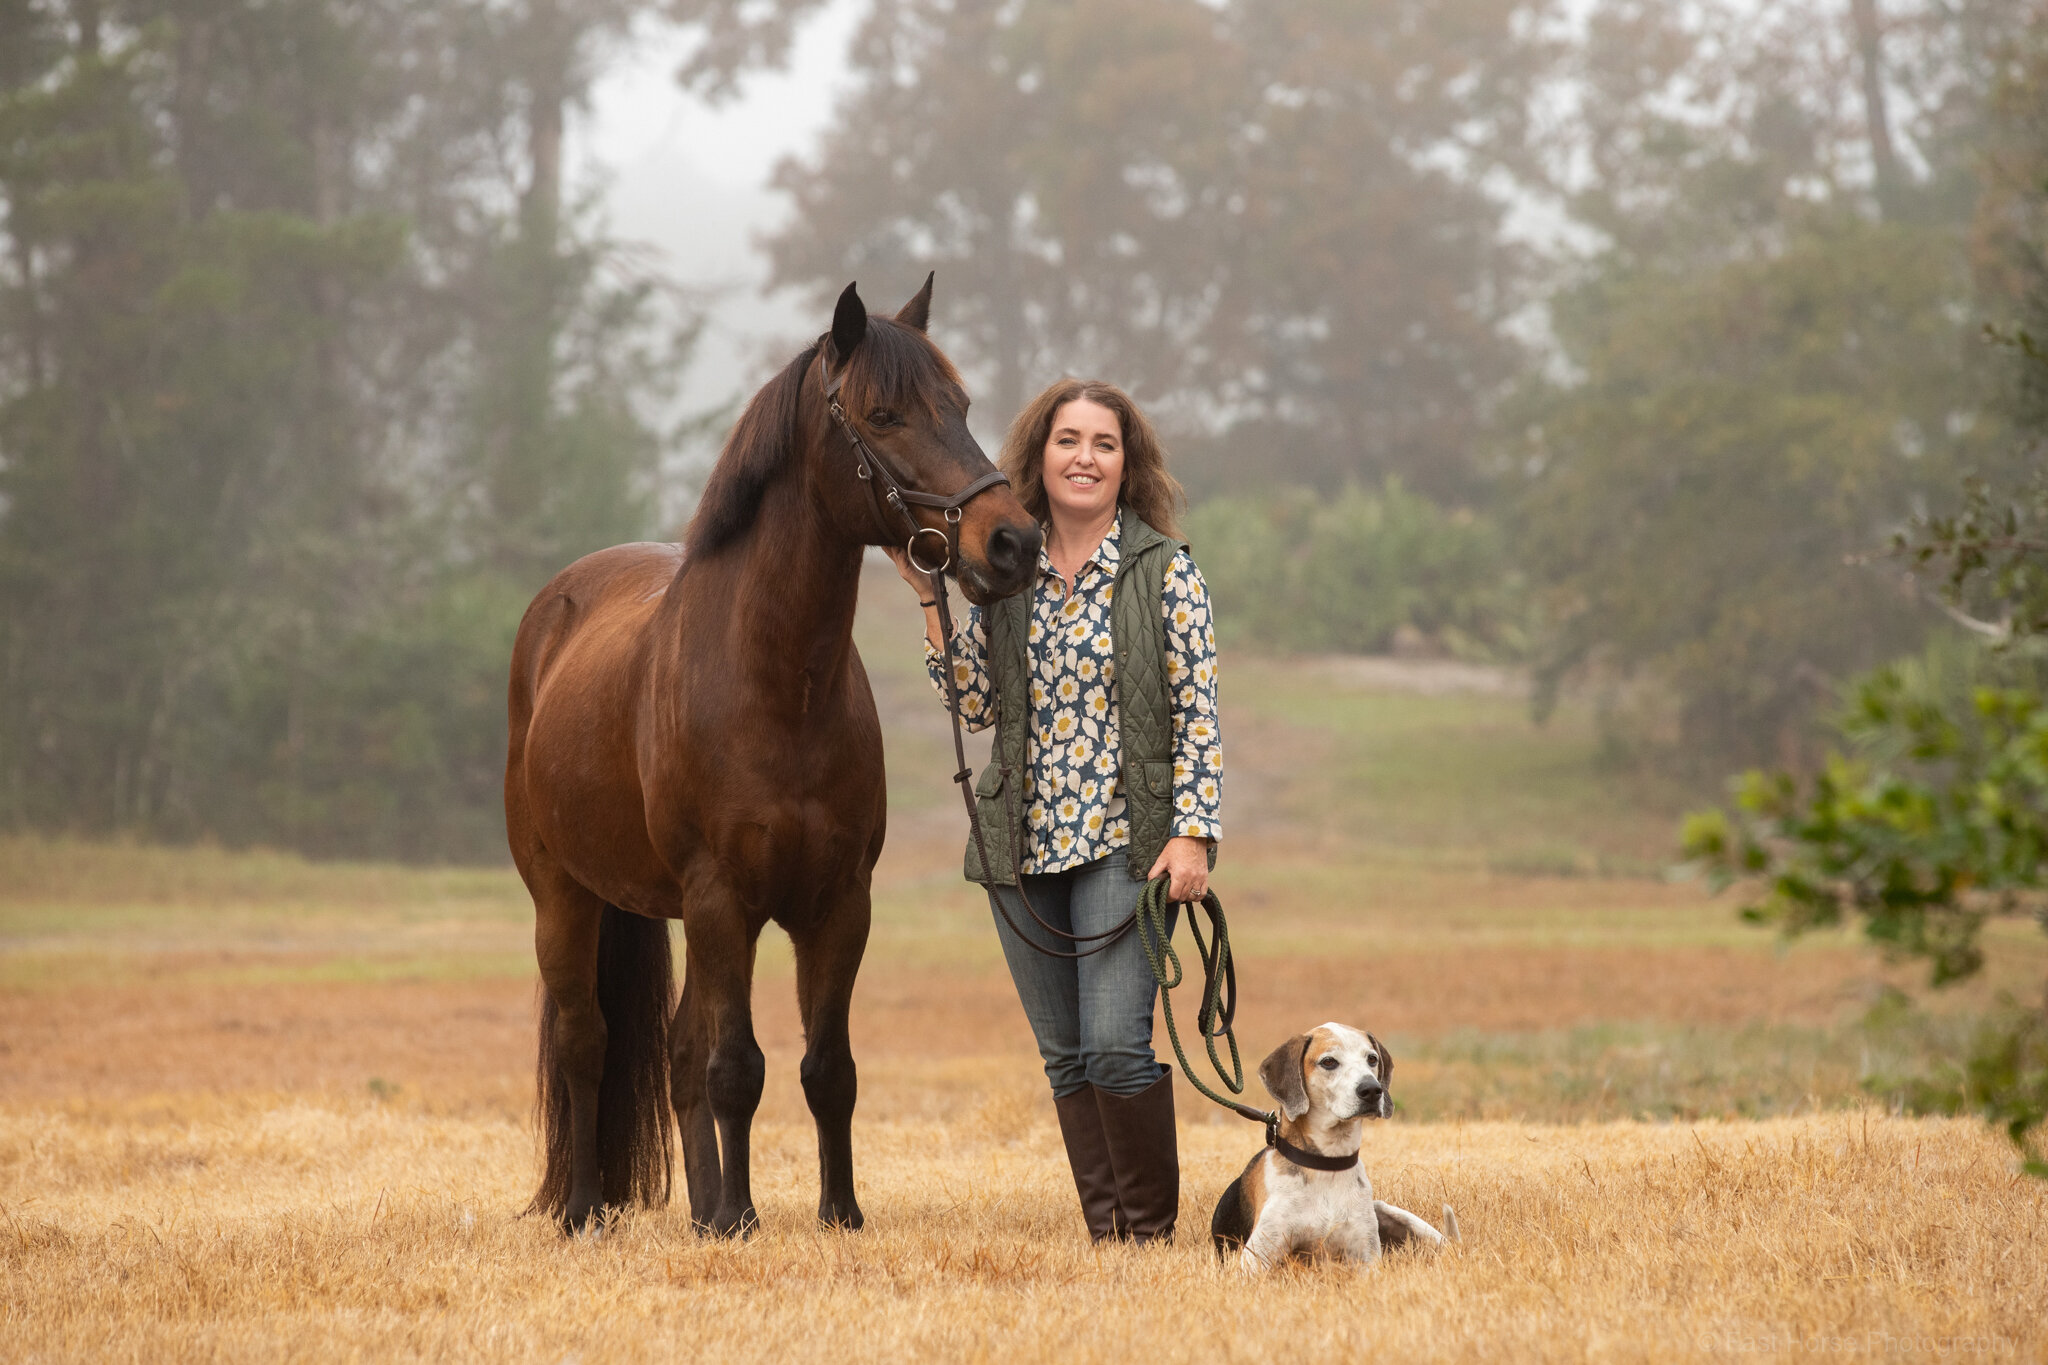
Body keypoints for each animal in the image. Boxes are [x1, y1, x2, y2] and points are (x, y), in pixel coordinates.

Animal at [497, 280, 1040, 1236]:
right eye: (884, 413)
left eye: (964, 406)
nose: (1012, 542)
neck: (779, 688)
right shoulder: (723, 899)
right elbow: (737, 1067)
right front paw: (743, 1218)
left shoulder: (839, 904)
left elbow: (826, 1068)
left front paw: (835, 1212)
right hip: (564, 895)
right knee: (586, 1041)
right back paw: (587, 1209)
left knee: (676, 1050)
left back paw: (699, 1207)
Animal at [1212, 1023, 1458, 1268]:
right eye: (1328, 1061)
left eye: (1372, 1059)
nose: (1372, 1089)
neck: (1327, 1163)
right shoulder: (1256, 1257)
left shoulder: (1367, 1257)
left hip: (1394, 1214)